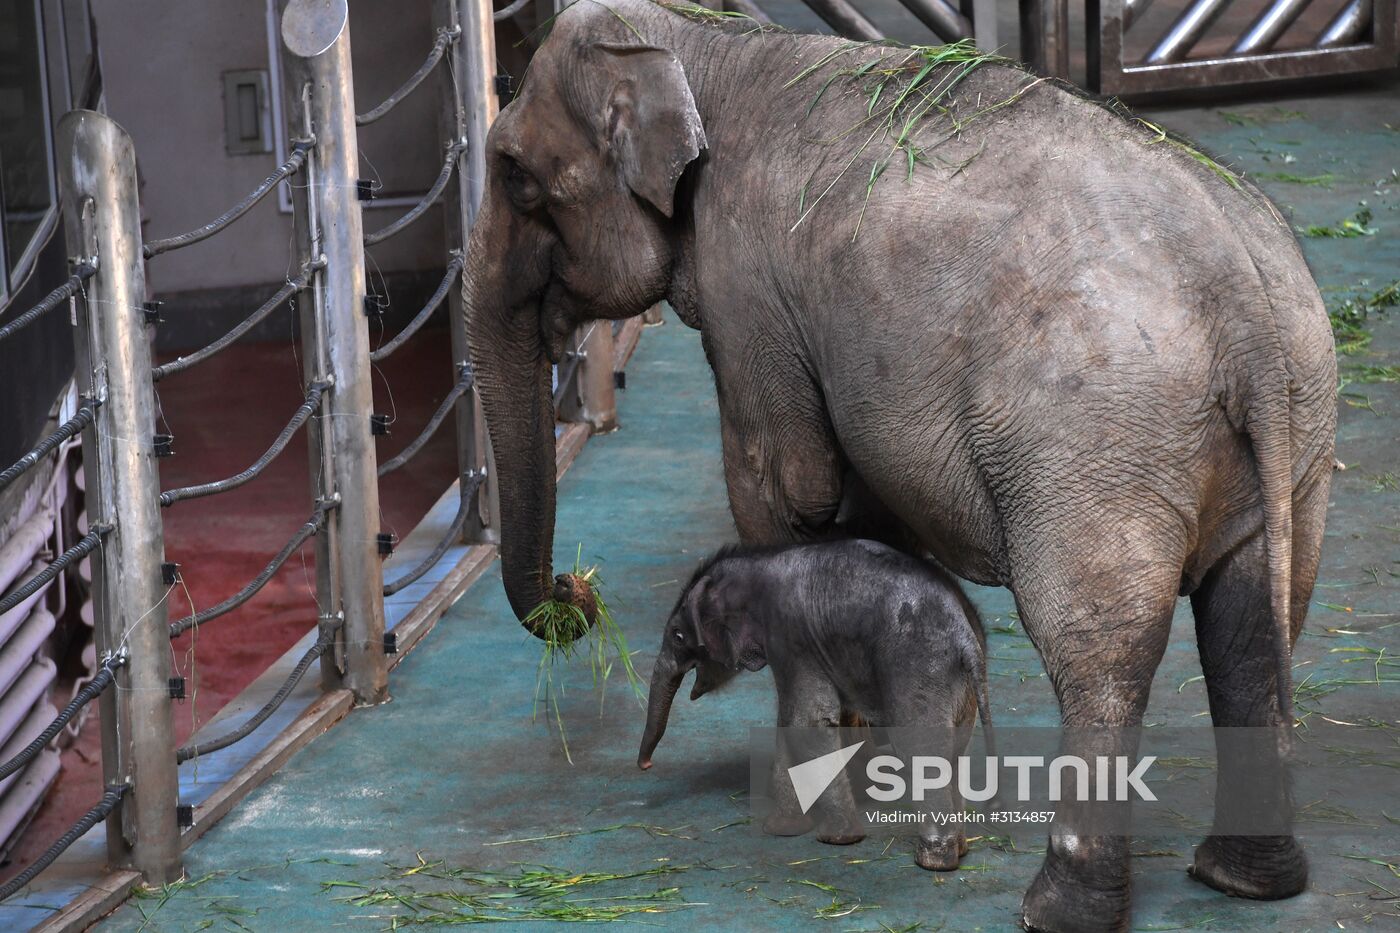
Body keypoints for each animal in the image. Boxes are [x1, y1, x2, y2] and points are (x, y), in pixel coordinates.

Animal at [635, 538, 993, 871]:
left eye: (678, 635)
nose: (646, 766)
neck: (760, 561)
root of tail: (966, 637)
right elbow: (790, 722)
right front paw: (782, 829)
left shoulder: (792, 637)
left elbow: (806, 721)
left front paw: (838, 839)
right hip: (958, 687)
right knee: (955, 749)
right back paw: (960, 850)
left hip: (917, 668)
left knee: (920, 748)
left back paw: (933, 861)